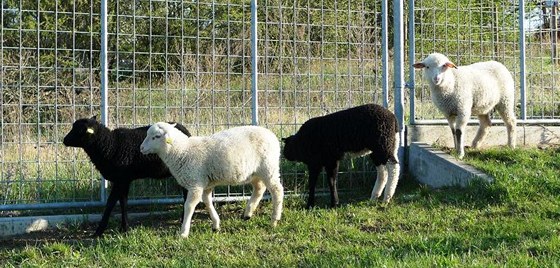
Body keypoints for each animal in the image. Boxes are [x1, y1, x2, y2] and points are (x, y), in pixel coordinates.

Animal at [62, 116, 191, 238]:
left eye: (79, 130)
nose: (64, 140)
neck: (110, 145)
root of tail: (187, 132)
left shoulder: (121, 180)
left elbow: (114, 203)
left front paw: (103, 231)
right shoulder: (122, 180)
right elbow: (120, 202)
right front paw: (120, 228)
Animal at [138, 122, 282, 238]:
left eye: (156, 136)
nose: (141, 148)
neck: (182, 151)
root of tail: (272, 135)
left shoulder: (195, 184)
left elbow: (189, 206)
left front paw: (184, 232)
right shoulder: (205, 183)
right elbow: (207, 201)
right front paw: (216, 224)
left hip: (269, 167)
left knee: (277, 191)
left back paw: (274, 220)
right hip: (254, 172)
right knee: (259, 188)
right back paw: (248, 213)